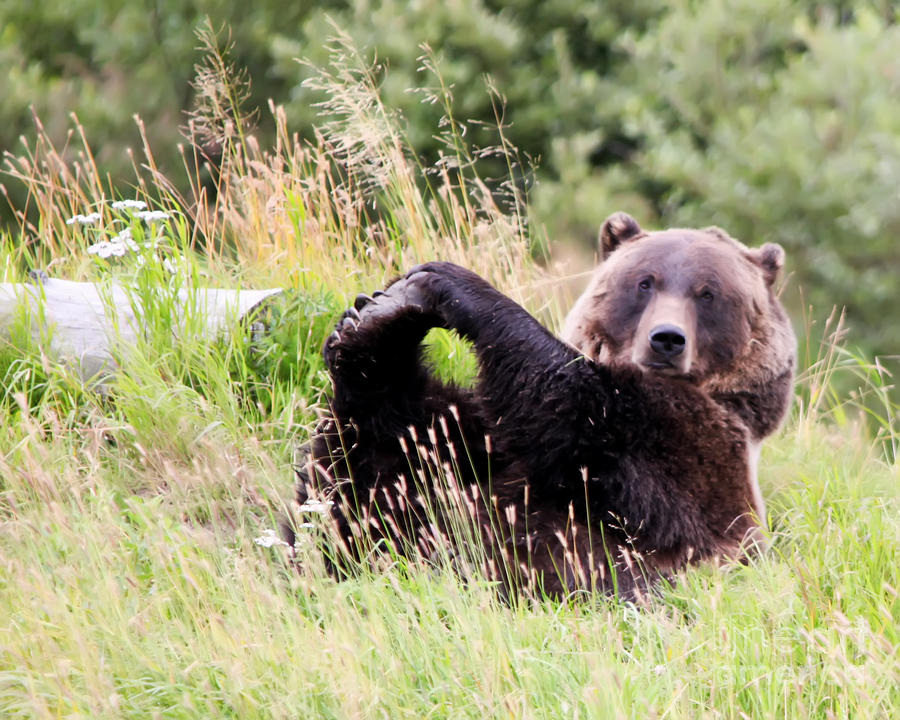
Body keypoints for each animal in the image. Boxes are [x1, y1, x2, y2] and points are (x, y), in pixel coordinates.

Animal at [292, 214, 800, 600]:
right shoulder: (471, 446)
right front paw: (376, 317)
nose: (667, 339)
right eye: (644, 283)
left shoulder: (683, 454)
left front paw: (445, 281)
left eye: (708, 293)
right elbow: (381, 475)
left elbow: (573, 402)